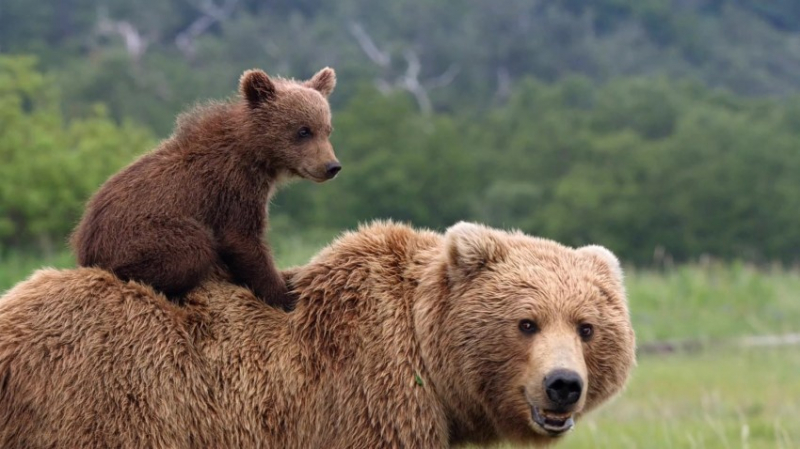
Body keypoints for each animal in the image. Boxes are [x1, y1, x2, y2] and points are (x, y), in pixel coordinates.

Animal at [69, 66, 340, 310]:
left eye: (327, 129)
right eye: (303, 130)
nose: (332, 166)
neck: (255, 155)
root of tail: (84, 242)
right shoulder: (233, 187)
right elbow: (242, 240)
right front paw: (284, 295)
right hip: (140, 235)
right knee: (194, 247)